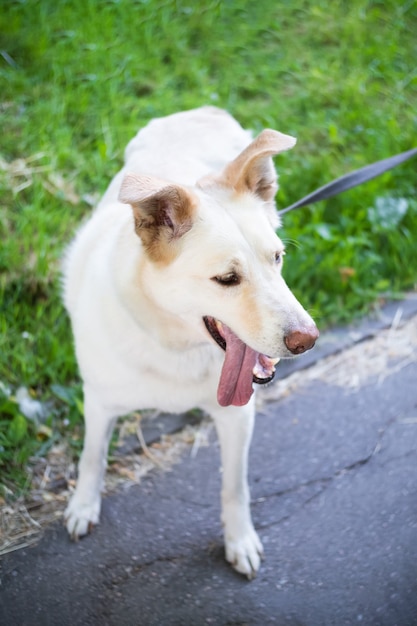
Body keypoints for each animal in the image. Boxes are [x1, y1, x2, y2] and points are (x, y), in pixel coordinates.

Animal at [61, 106, 316, 576]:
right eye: (227, 279)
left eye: (277, 258)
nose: (307, 340)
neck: (174, 345)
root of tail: (199, 110)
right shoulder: (99, 403)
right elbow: (91, 457)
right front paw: (83, 505)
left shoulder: (237, 417)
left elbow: (235, 487)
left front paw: (239, 540)